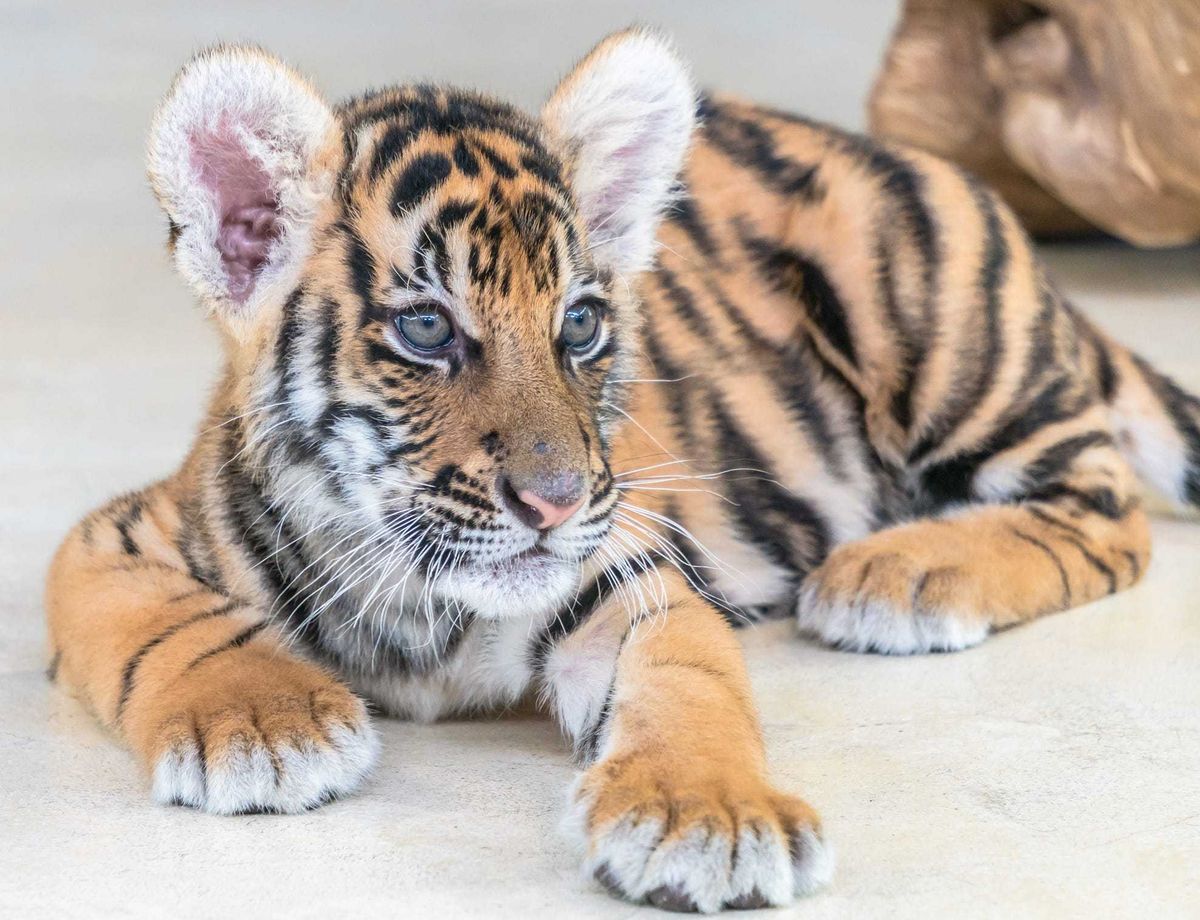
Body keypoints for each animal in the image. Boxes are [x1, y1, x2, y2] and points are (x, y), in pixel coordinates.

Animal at [44, 27, 1200, 913]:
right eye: (426, 329)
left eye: (581, 326)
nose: (555, 502)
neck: (419, 597)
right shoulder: (111, 539)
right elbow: (171, 628)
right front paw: (262, 724)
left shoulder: (630, 575)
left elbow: (690, 690)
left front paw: (709, 818)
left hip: (940, 332)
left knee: (1105, 509)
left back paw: (900, 573)